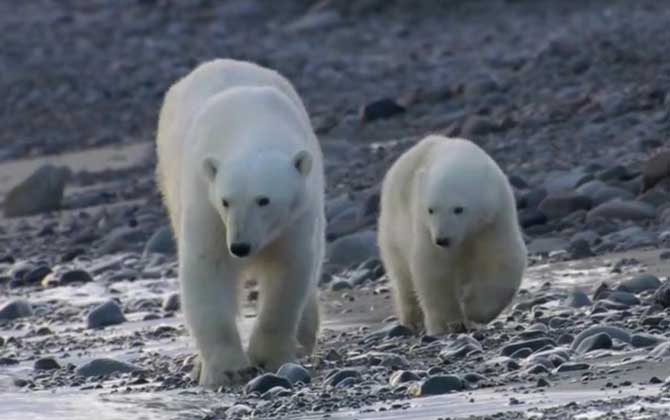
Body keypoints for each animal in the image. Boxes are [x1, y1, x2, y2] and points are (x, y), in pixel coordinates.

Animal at [158, 59, 326, 388]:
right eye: (226, 201)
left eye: (264, 200)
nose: (240, 246)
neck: (251, 125)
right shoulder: (205, 203)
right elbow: (207, 267)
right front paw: (226, 369)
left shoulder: (297, 214)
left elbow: (288, 269)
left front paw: (269, 357)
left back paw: (304, 334)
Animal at [380, 136, 528, 336]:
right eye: (431, 209)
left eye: (458, 209)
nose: (443, 240)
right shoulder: (424, 228)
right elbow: (433, 269)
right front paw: (449, 323)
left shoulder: (495, 219)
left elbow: (502, 260)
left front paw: (473, 309)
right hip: (394, 226)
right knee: (402, 276)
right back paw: (413, 321)